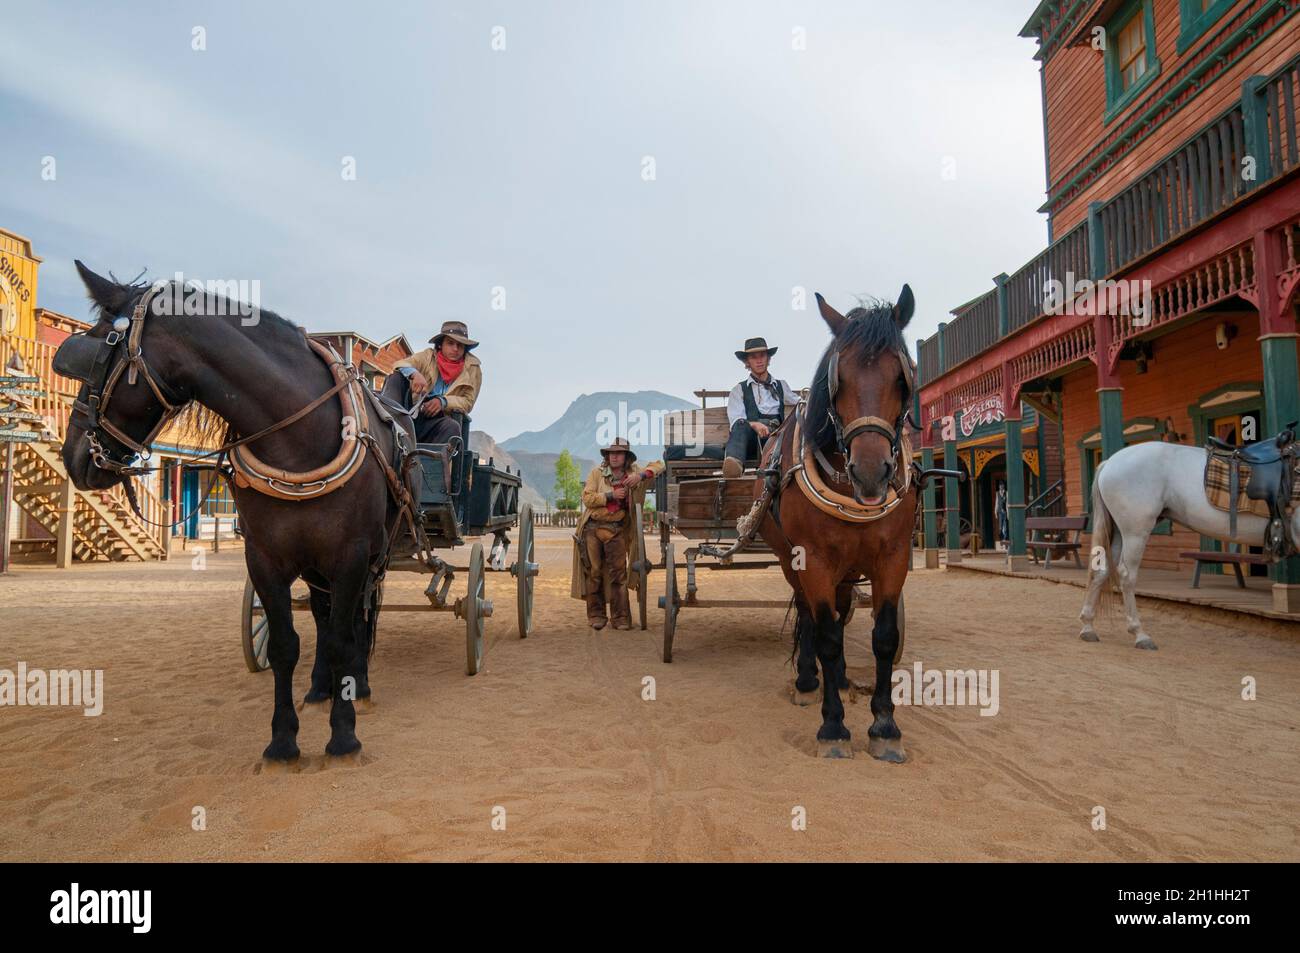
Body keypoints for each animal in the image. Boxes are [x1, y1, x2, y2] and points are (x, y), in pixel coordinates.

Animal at [57, 262, 416, 759]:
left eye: (95, 353)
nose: (73, 455)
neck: (298, 440)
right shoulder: (264, 557)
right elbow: (287, 644)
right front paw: (283, 740)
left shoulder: (351, 555)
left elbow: (345, 639)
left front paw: (344, 734)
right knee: (323, 618)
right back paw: (320, 686)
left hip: (370, 557)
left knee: (357, 619)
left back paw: (356, 684)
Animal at [759, 286, 920, 764]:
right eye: (838, 380)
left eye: (902, 377)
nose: (870, 472)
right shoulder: (812, 559)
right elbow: (827, 634)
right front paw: (833, 727)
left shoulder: (893, 557)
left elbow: (884, 636)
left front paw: (885, 727)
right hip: (790, 558)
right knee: (811, 614)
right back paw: (809, 680)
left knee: (842, 608)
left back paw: (844, 679)